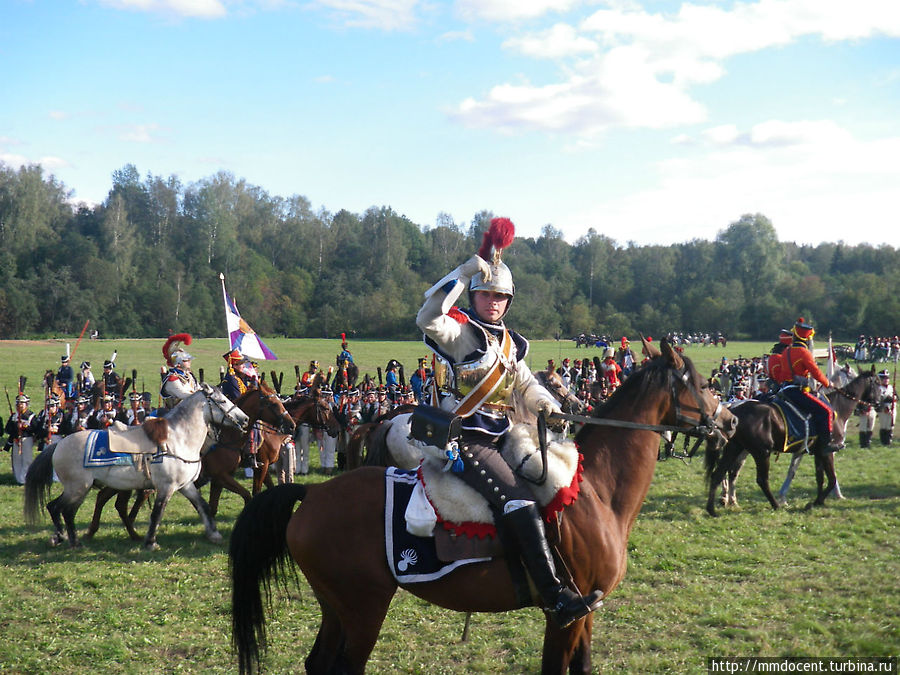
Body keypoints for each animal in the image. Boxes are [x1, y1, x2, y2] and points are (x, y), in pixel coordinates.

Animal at [25, 382, 250, 552]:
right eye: (223, 401)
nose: (245, 419)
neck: (178, 440)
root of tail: (58, 445)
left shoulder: (186, 486)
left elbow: (202, 506)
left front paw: (214, 534)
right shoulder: (166, 487)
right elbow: (157, 513)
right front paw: (150, 542)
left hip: (80, 489)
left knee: (62, 509)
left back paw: (67, 538)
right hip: (78, 487)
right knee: (60, 509)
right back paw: (68, 539)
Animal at [229, 344, 736, 675]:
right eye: (696, 383)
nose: (730, 419)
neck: (596, 491)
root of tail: (312, 495)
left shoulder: (586, 614)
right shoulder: (565, 616)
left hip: (336, 609)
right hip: (362, 610)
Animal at [704, 368, 880, 516]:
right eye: (877, 382)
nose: (881, 402)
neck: (836, 408)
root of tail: (733, 410)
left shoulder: (815, 453)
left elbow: (818, 477)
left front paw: (817, 500)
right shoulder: (827, 451)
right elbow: (831, 478)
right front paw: (817, 501)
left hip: (735, 449)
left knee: (720, 473)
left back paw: (715, 507)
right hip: (761, 453)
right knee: (759, 479)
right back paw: (773, 504)